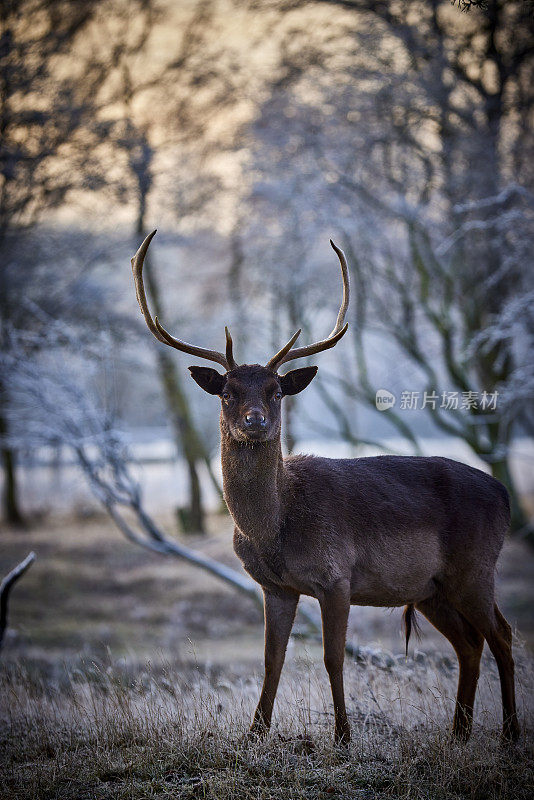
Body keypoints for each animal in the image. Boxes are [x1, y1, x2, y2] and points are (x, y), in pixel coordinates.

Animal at [132, 228, 520, 748]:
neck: (273, 529)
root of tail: (504, 495)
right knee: (470, 644)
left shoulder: (337, 575)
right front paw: (254, 734)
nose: (255, 421)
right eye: (228, 392)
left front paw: (343, 736)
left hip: (475, 567)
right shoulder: (275, 586)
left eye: (276, 390)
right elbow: (271, 659)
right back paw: (458, 733)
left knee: (503, 634)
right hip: (432, 589)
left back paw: (509, 734)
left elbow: (333, 658)